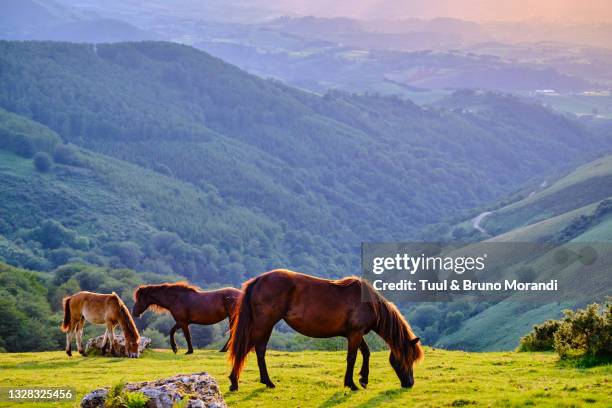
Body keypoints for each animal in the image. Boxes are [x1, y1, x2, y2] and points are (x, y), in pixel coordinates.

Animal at [227, 270, 424, 390]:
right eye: (407, 358)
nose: (410, 383)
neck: (369, 304)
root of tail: (259, 279)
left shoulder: (356, 333)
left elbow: (366, 353)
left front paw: (363, 379)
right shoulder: (355, 334)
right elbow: (352, 357)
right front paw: (351, 384)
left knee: (258, 350)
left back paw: (263, 382)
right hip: (264, 325)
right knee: (249, 349)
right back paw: (238, 382)